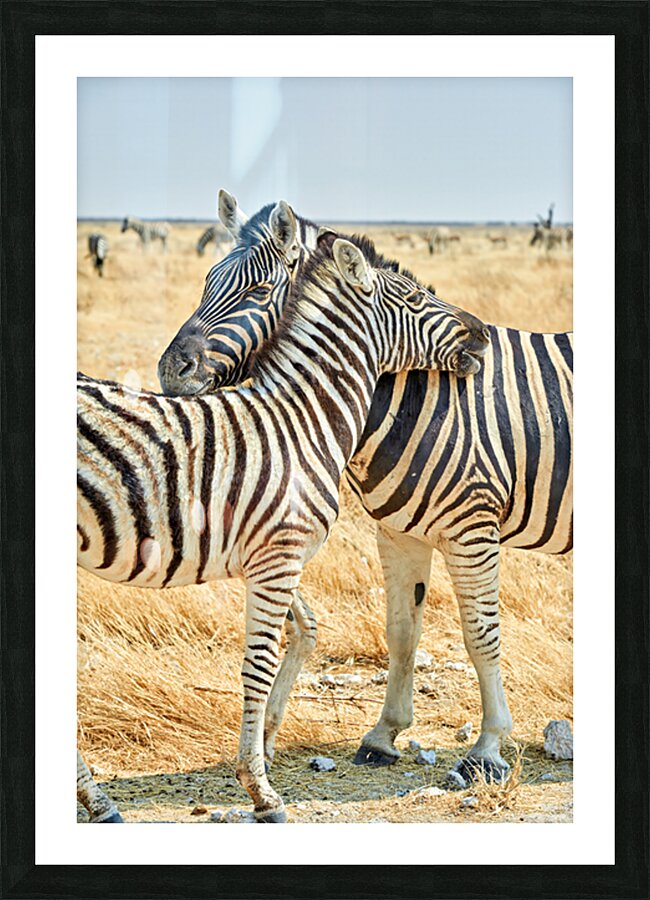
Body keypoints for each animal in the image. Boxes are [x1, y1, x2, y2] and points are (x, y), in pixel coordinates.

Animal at [79, 221, 488, 823]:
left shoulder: (273, 556)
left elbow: (301, 632)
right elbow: (258, 663)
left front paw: (264, 752)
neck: (302, 419)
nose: (482, 333)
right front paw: (260, 789)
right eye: (416, 298)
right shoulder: (277, 557)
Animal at [159, 191, 573, 782]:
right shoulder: (399, 532)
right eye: (206, 282)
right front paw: (383, 735)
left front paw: (489, 746)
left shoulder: (473, 528)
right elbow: (402, 632)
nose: (171, 370)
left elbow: (480, 634)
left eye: (257, 291)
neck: (413, 395)